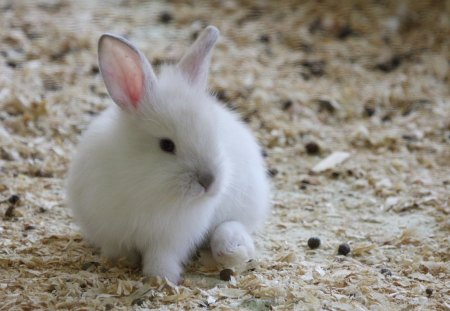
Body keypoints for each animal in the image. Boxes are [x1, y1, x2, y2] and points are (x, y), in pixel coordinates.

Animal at [67, 25, 270, 282]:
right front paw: (122, 263)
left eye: (214, 135)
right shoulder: (110, 231)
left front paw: (161, 278)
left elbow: (161, 257)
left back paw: (231, 249)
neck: (146, 186)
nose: (209, 182)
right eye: (166, 145)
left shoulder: (170, 239)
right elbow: (118, 250)